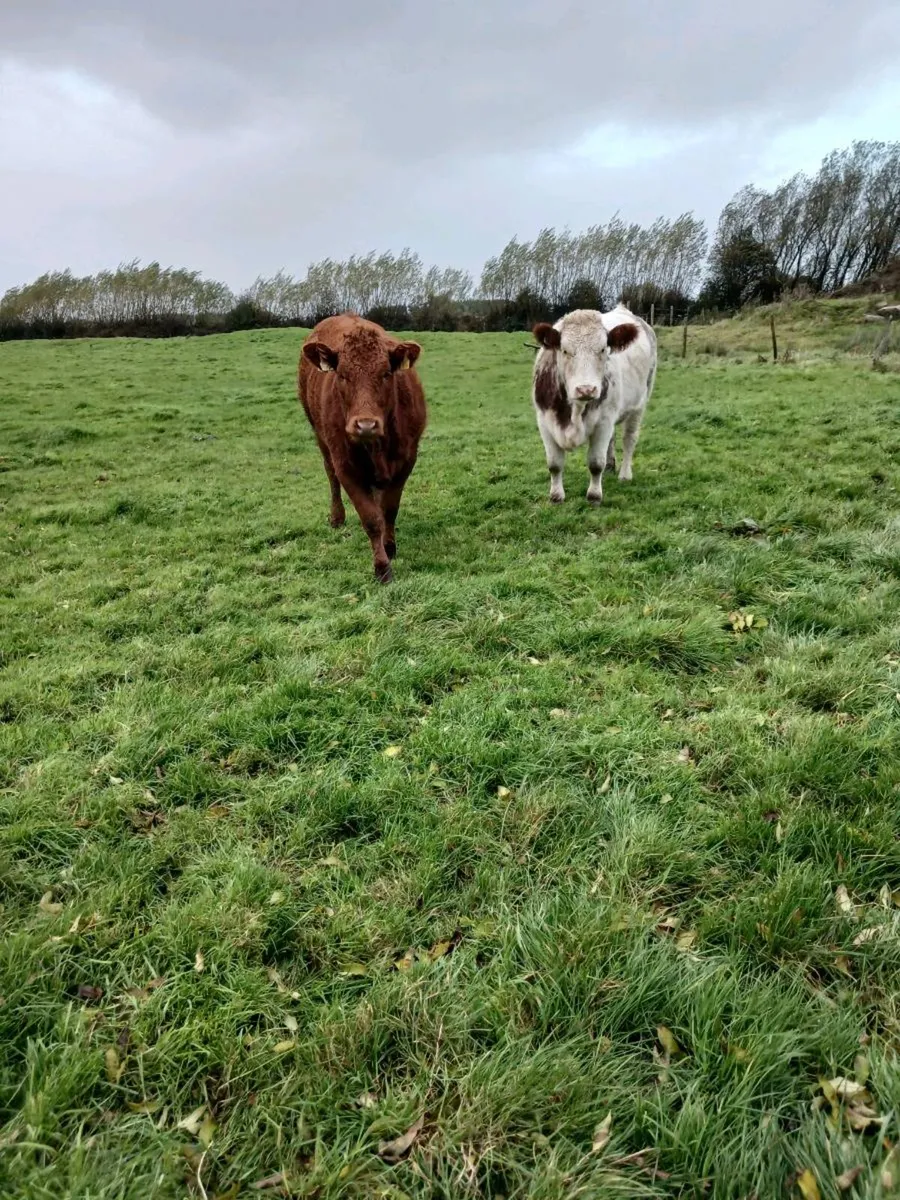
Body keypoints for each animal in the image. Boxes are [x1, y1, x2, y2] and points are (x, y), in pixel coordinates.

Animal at [298, 313, 427, 583]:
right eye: (342, 375)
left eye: (386, 373)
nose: (365, 424)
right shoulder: (346, 467)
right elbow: (371, 519)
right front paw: (382, 567)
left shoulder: (407, 461)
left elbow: (389, 509)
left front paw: (389, 546)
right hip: (320, 437)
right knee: (331, 477)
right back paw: (337, 517)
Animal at [530, 304, 657, 505]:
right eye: (565, 350)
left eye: (603, 349)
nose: (586, 389)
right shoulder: (544, 422)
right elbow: (554, 464)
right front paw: (556, 496)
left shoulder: (603, 422)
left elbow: (596, 463)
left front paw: (594, 496)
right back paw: (611, 465)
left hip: (640, 404)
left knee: (629, 439)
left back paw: (624, 474)